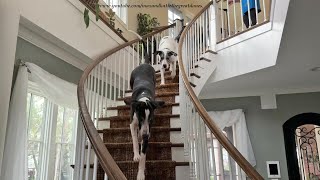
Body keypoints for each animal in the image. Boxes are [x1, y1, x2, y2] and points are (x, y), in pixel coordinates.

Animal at [124, 41, 165, 179]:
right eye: (141, 118)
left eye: (151, 120)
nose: (146, 135)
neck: (144, 98)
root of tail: (144, 64)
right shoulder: (132, 123)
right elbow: (135, 140)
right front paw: (136, 155)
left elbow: (143, 155)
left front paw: (140, 174)